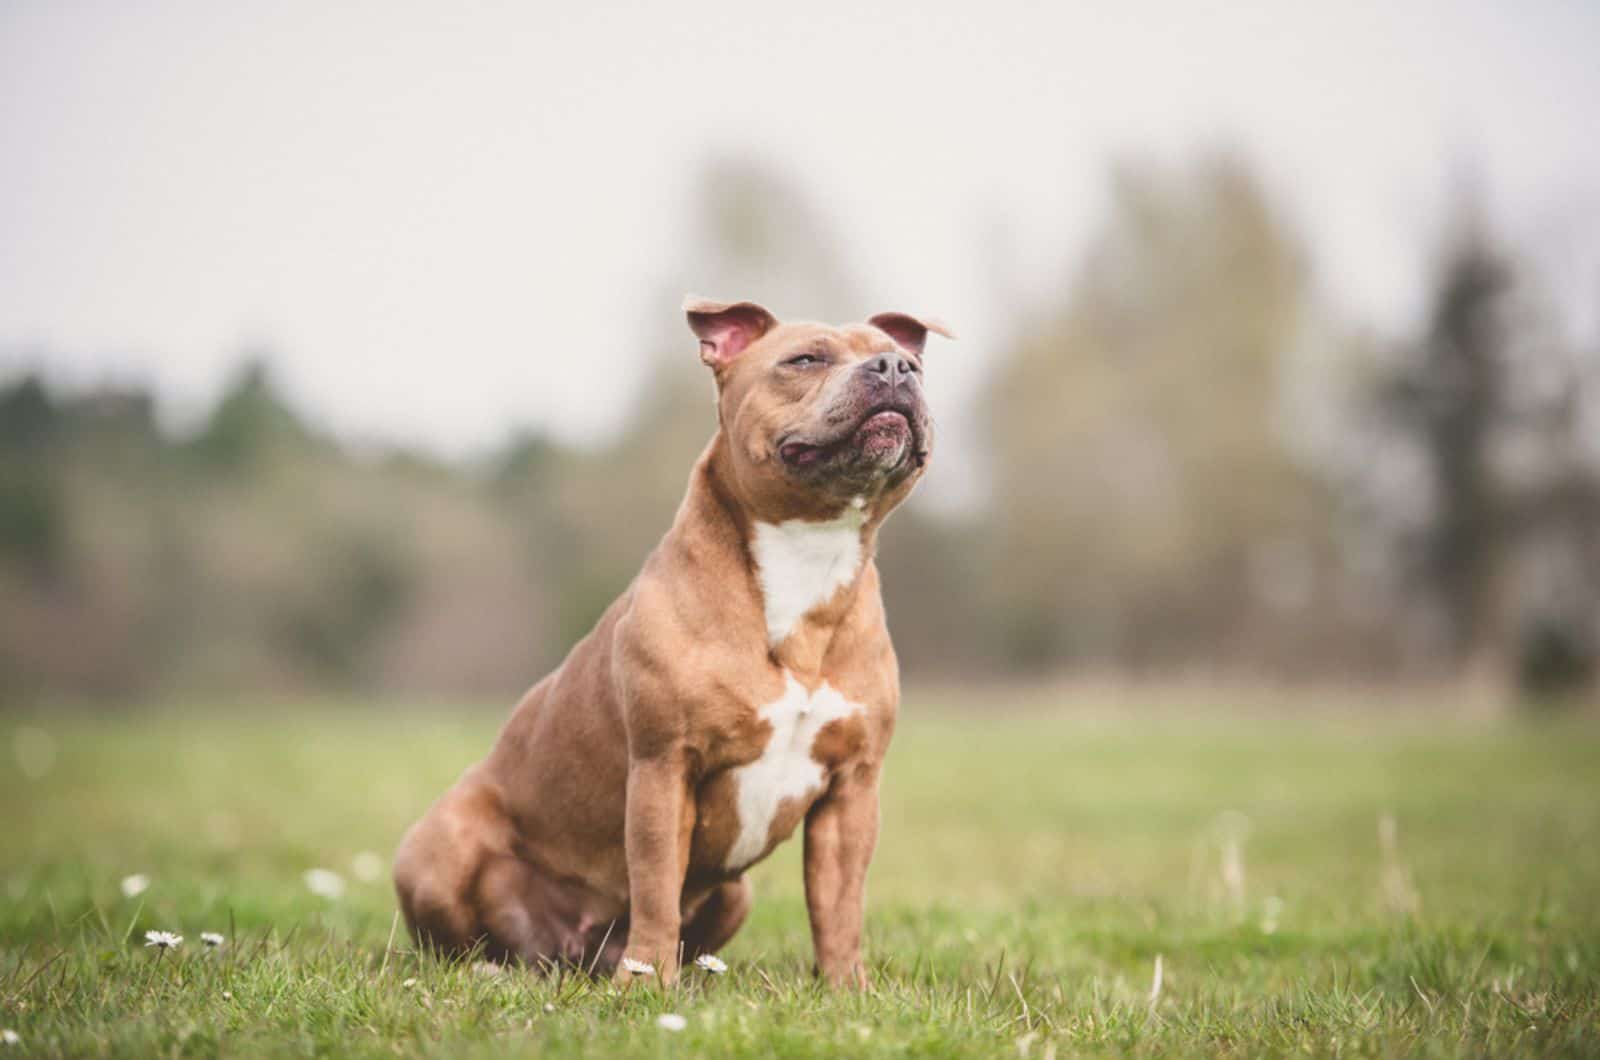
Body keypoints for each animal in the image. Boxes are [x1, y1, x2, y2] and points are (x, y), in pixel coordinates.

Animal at [395, 296, 947, 986]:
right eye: (804, 359)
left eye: (913, 364)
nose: (896, 368)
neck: (806, 555)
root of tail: (565, 952)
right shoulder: (664, 767)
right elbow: (656, 885)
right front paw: (650, 983)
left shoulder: (851, 789)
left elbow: (839, 904)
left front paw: (847, 989)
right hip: (436, 846)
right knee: (463, 939)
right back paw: (498, 970)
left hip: (736, 894)